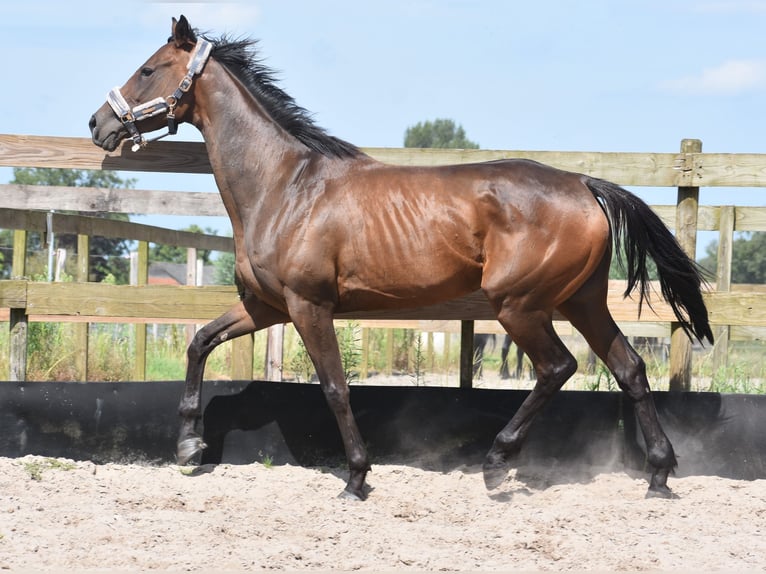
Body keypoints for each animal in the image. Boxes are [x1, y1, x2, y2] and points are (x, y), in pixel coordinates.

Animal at [90, 13, 712, 500]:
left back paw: (496, 465)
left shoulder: (309, 306)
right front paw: (189, 446)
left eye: (148, 69)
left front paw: (356, 477)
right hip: (581, 301)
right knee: (629, 368)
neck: (285, 186)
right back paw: (659, 475)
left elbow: (336, 388)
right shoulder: (267, 308)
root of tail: (585, 183)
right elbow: (199, 342)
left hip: (520, 305)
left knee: (557, 368)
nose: (98, 123)